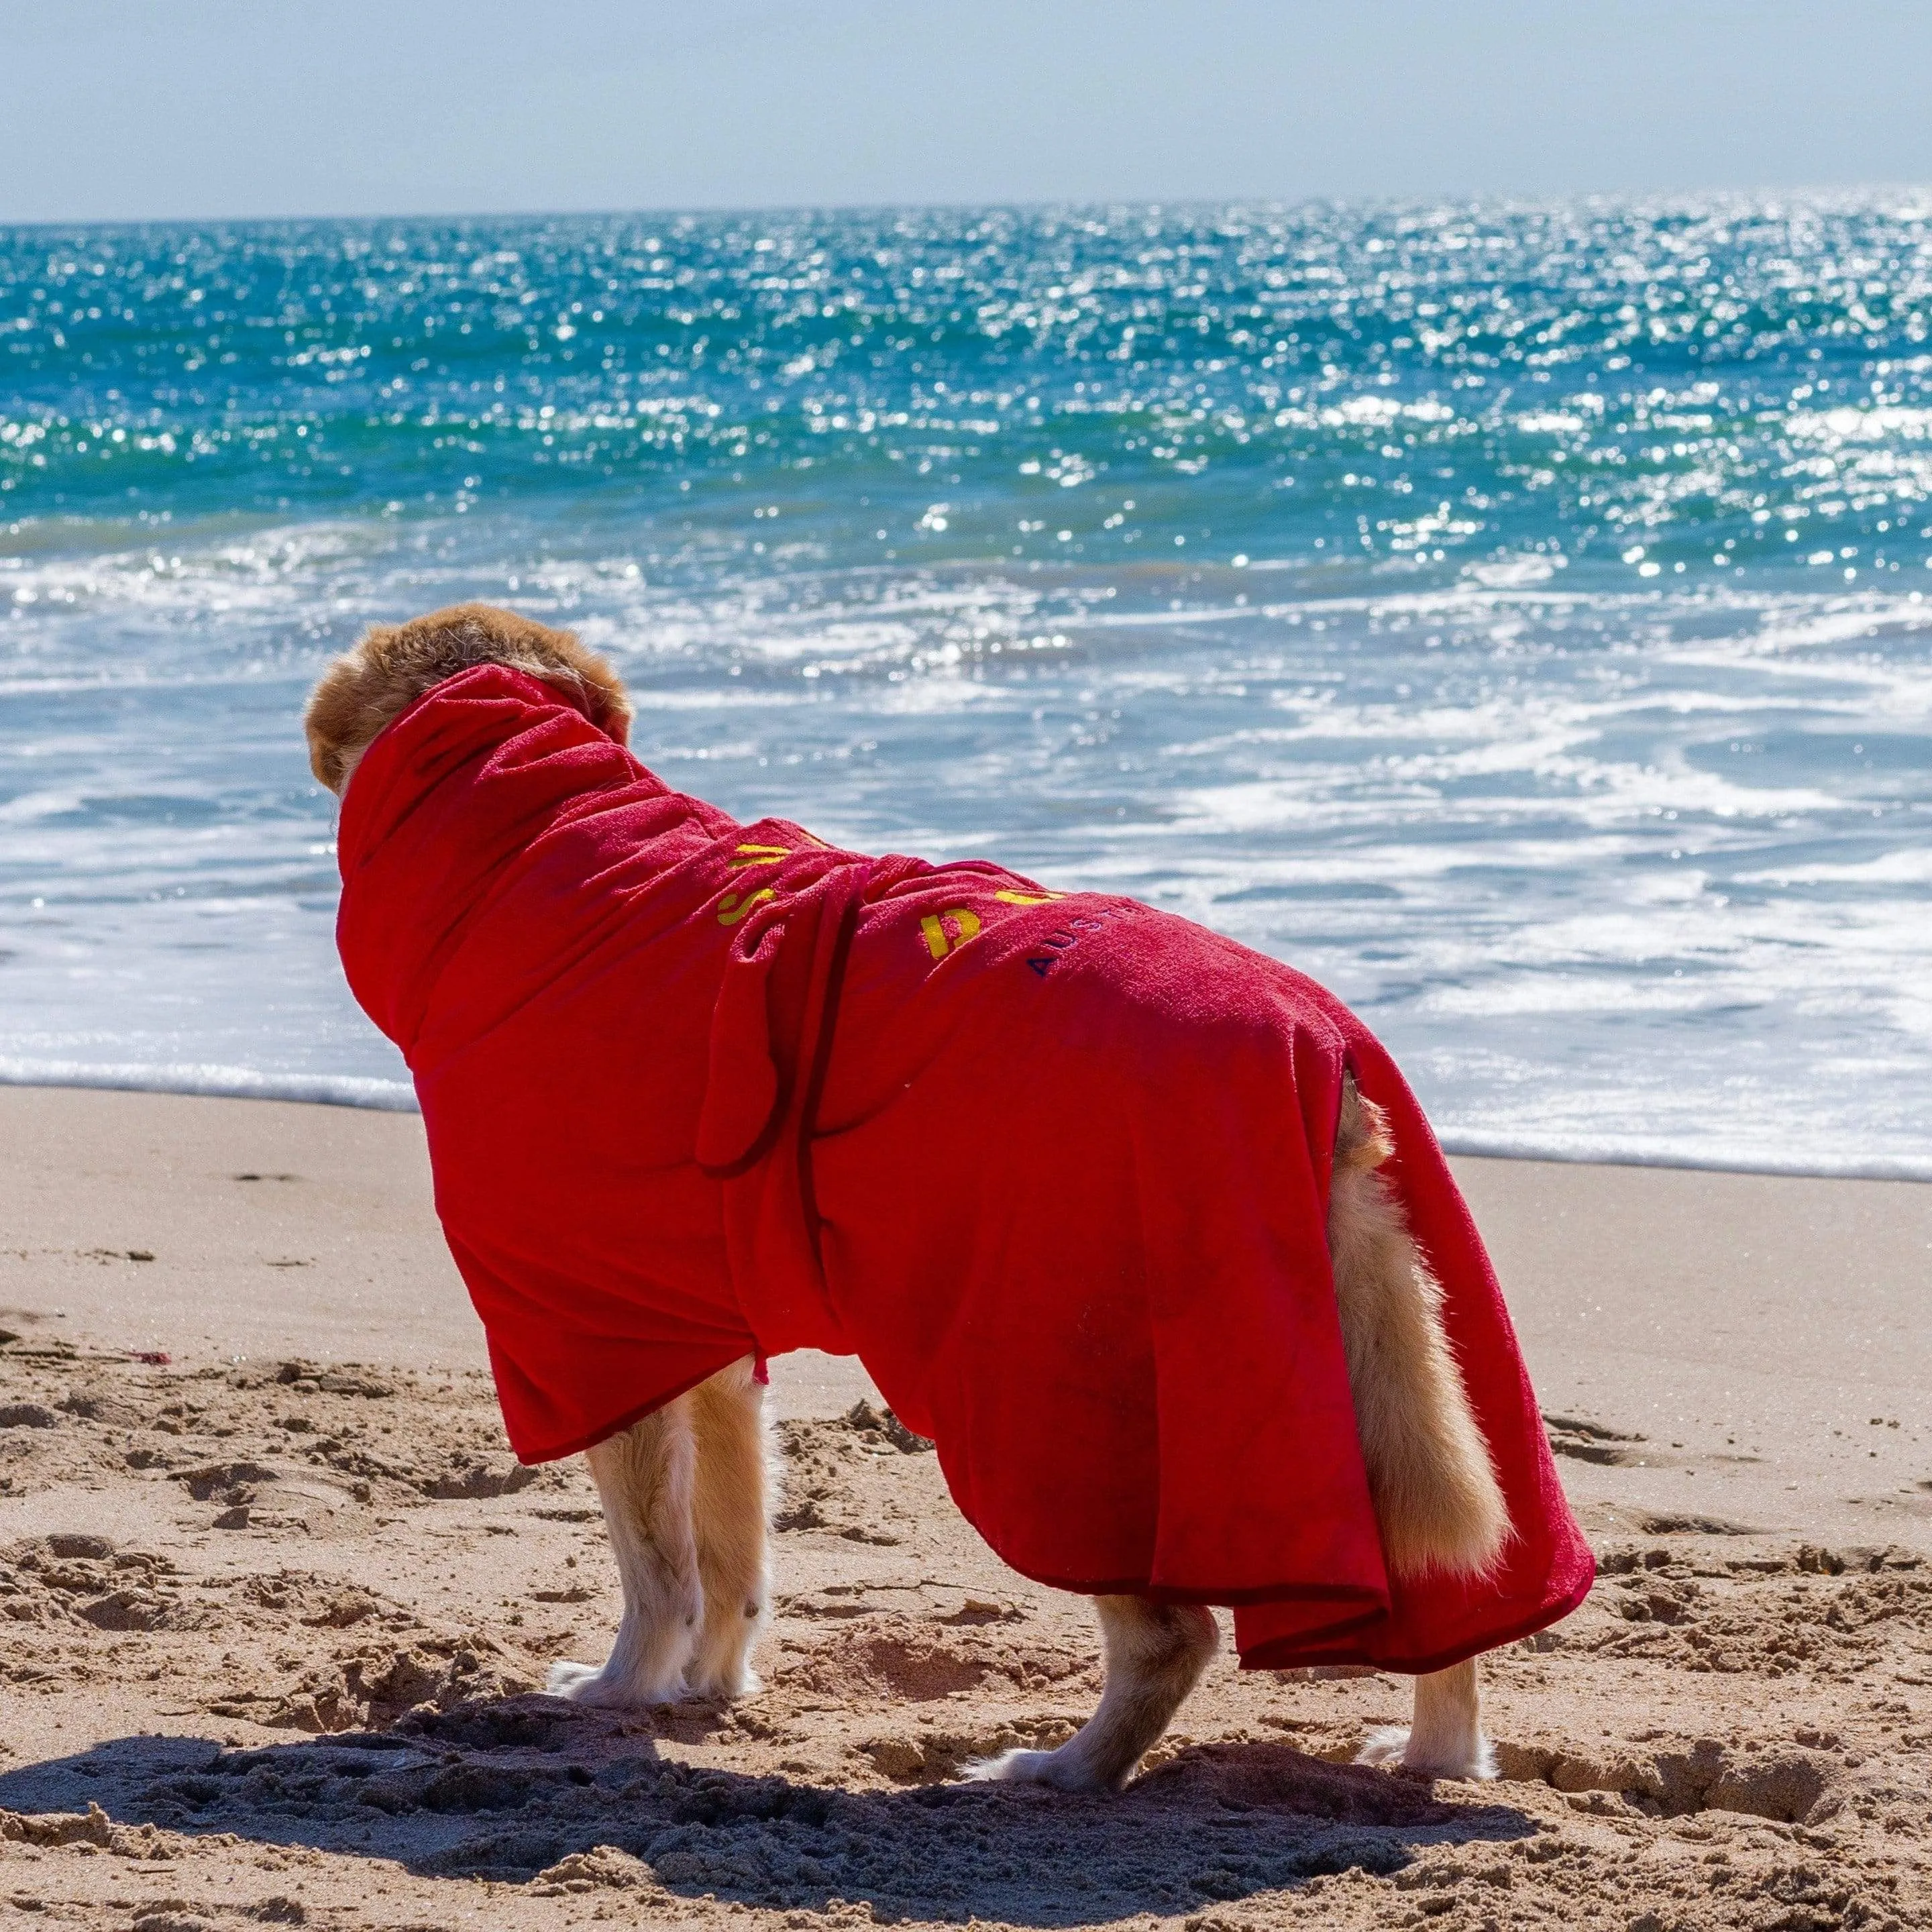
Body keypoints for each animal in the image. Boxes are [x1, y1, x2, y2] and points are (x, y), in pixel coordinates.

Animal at [309, 598, 1584, 1792]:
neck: (543, 829)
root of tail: (1324, 1061)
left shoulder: (587, 1335)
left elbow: (658, 1570)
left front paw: (620, 1693)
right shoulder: (702, 1342)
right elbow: (731, 1551)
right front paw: (709, 1690)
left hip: (1064, 1407)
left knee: (1171, 1634)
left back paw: (1062, 1771)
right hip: (1395, 1373)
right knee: (1453, 1604)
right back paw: (1431, 1753)